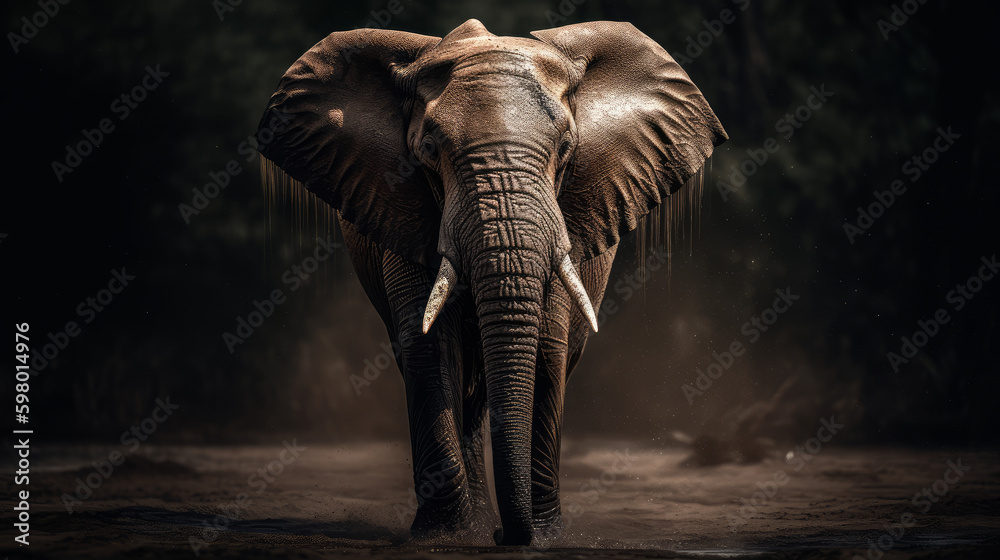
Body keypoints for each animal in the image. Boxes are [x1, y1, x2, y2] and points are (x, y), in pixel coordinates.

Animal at [254, 19, 726, 546]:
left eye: (566, 149)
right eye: (428, 151)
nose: (504, 536)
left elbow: (545, 347)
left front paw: (542, 537)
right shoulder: (400, 206)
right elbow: (429, 347)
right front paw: (446, 537)